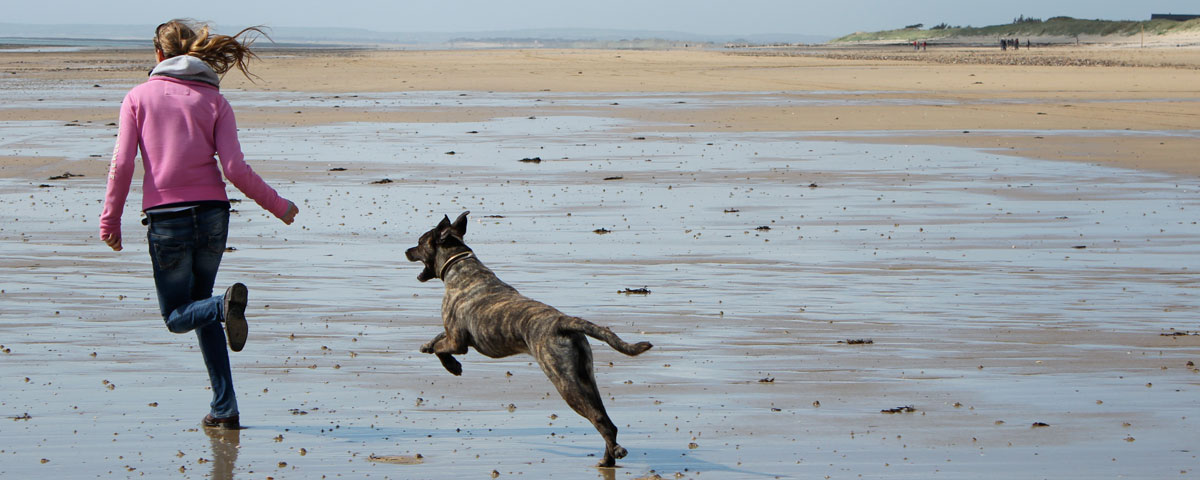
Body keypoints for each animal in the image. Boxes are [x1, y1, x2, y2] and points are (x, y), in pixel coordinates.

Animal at [410, 212, 657, 468]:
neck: (460, 265)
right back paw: (608, 459)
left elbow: (442, 348)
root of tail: (564, 321)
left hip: (565, 382)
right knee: (607, 421)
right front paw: (427, 345)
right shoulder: (452, 334)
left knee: (599, 419)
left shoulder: (457, 341)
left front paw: (452, 365)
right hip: (585, 378)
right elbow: (438, 337)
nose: (407, 251)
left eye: (419, 242)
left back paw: (614, 453)